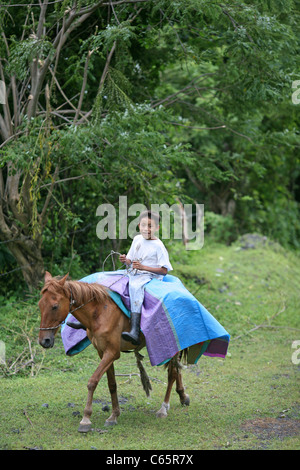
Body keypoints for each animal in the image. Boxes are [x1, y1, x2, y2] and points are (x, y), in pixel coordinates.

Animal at [38, 272, 190, 434]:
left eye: (54, 306)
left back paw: (163, 408)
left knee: (172, 373)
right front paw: (114, 415)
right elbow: (112, 384)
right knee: (177, 370)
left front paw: (86, 419)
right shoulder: (103, 352)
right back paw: (182, 396)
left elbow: (92, 382)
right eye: (40, 305)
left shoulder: (112, 353)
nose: (44, 341)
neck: (100, 313)